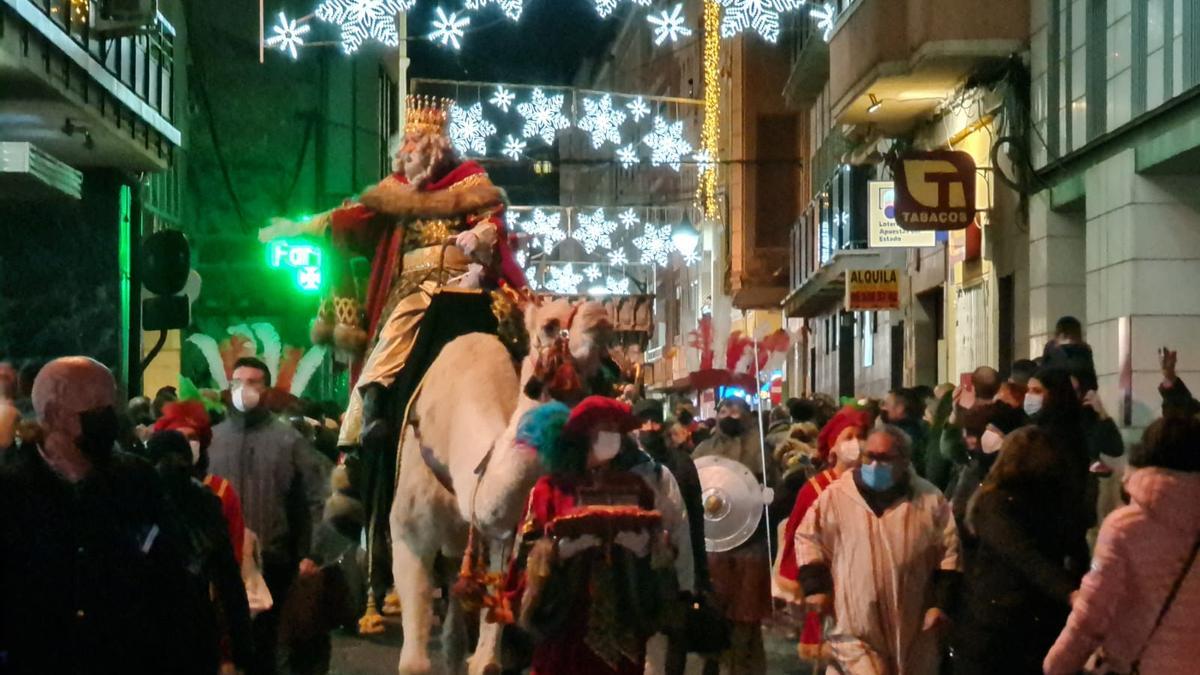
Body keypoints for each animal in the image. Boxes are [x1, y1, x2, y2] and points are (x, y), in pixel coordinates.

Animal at [386, 296, 614, 667]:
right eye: (550, 325)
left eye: (606, 338)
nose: (600, 319)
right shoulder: (409, 532)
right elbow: (414, 662)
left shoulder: (506, 537)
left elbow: (487, 660)